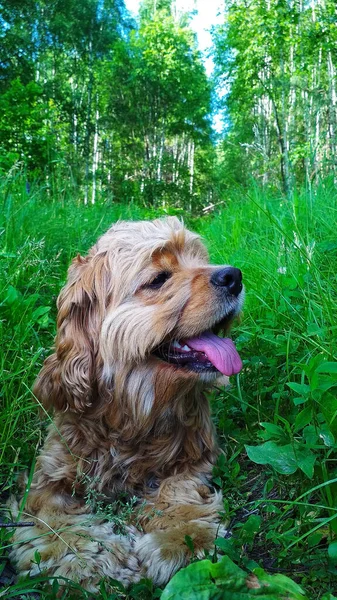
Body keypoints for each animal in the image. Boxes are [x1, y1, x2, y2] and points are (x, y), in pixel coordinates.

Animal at [9, 217, 243, 592]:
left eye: (201, 259)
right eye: (159, 278)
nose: (234, 276)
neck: (132, 412)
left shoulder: (193, 456)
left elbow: (179, 492)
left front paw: (181, 539)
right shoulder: (45, 477)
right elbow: (51, 518)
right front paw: (89, 558)